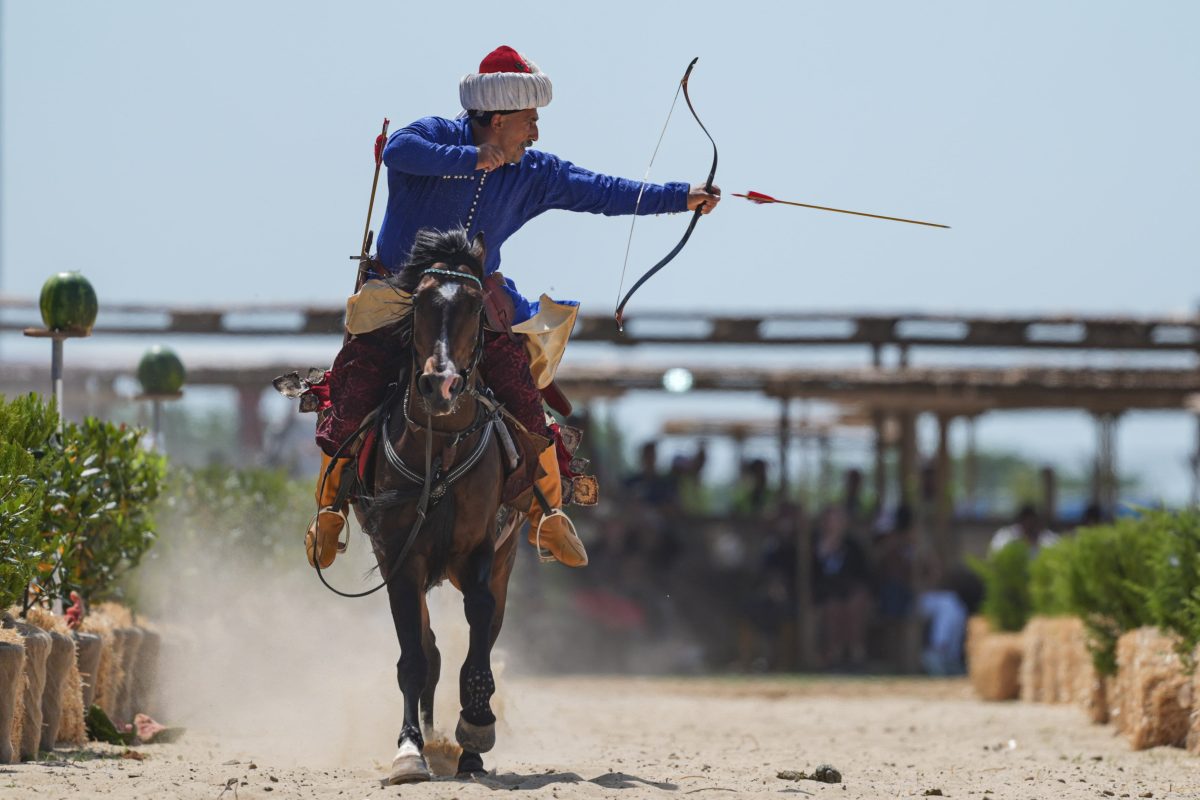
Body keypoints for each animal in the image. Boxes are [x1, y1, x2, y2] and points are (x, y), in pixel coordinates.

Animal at [355, 227, 525, 786]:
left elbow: (480, 631)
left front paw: (476, 728)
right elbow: (414, 657)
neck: (443, 449)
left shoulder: (479, 551)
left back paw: (468, 750)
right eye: (422, 302)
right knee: (428, 649)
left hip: (506, 558)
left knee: (486, 630)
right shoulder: (400, 556)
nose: (441, 383)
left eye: (475, 305)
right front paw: (410, 750)